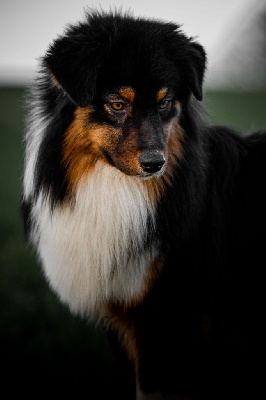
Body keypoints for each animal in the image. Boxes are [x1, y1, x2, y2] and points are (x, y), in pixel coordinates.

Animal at [22, 9, 266, 400]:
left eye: (165, 103)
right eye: (117, 104)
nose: (155, 164)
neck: (120, 190)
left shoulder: (167, 314)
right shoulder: (126, 316)